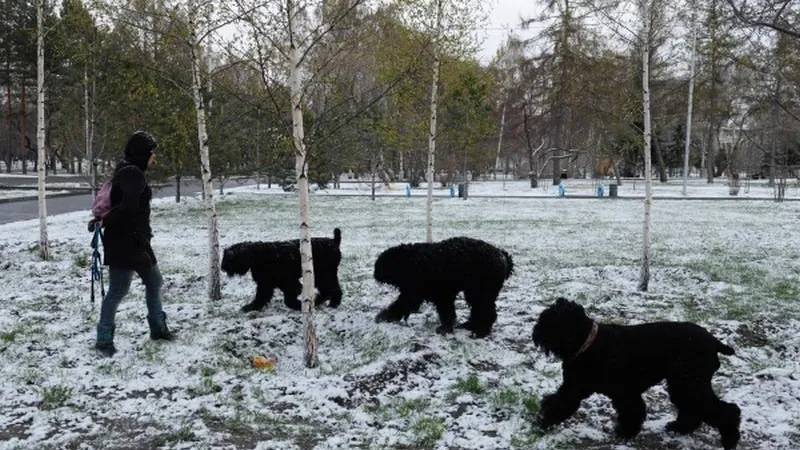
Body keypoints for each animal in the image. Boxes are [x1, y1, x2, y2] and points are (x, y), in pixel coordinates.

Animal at [374, 236, 512, 338]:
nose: (374, 274)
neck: (410, 261)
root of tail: (502, 254)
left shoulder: (431, 294)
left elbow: (401, 305)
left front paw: (384, 316)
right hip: (474, 292)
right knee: (479, 309)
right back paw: (470, 325)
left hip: (482, 292)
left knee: (486, 310)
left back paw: (481, 330)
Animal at [532, 298, 744, 450]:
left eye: (550, 319)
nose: (535, 333)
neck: (588, 342)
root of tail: (714, 341)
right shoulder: (574, 387)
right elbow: (557, 401)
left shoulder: (622, 393)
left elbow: (631, 411)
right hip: (683, 385)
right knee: (693, 410)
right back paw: (679, 428)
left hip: (689, 384)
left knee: (726, 410)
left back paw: (730, 440)